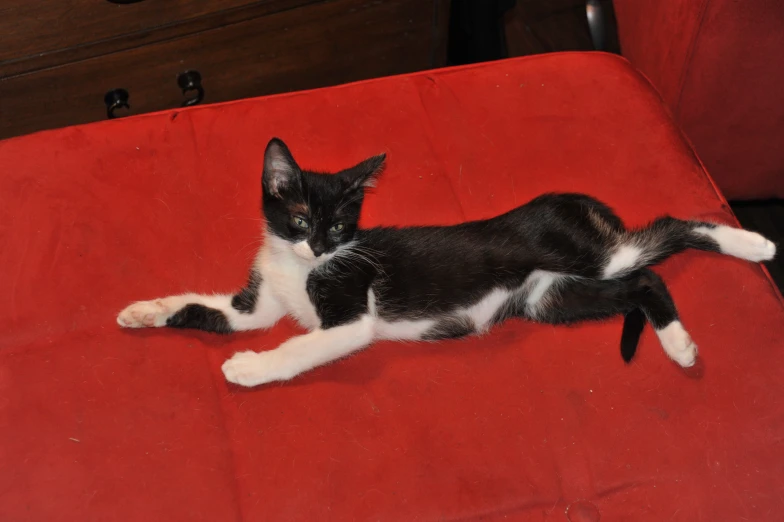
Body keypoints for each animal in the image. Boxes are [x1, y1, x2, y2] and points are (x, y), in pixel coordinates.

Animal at [116, 138, 776, 386]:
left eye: (341, 226)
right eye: (299, 220)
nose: (321, 247)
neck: (299, 268)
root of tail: (562, 201)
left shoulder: (351, 315)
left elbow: (299, 346)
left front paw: (250, 367)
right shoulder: (254, 303)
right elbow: (210, 310)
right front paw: (141, 311)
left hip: (592, 255)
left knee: (663, 240)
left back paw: (754, 246)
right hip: (552, 297)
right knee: (643, 281)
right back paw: (678, 343)